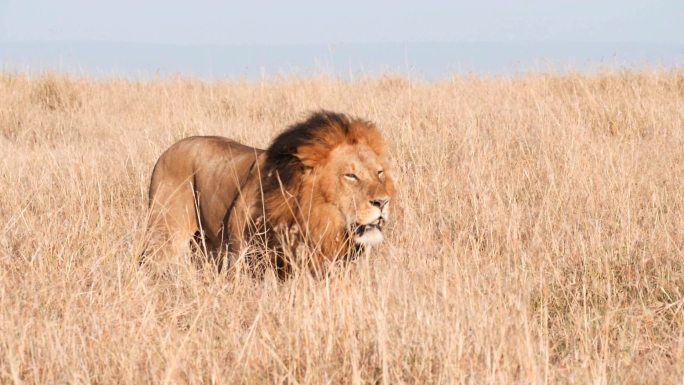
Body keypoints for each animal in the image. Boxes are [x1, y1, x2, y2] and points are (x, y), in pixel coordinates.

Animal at [147, 109, 398, 272]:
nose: (382, 202)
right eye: (351, 176)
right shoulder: (240, 255)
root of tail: (167, 152)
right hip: (165, 236)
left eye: (379, 173)